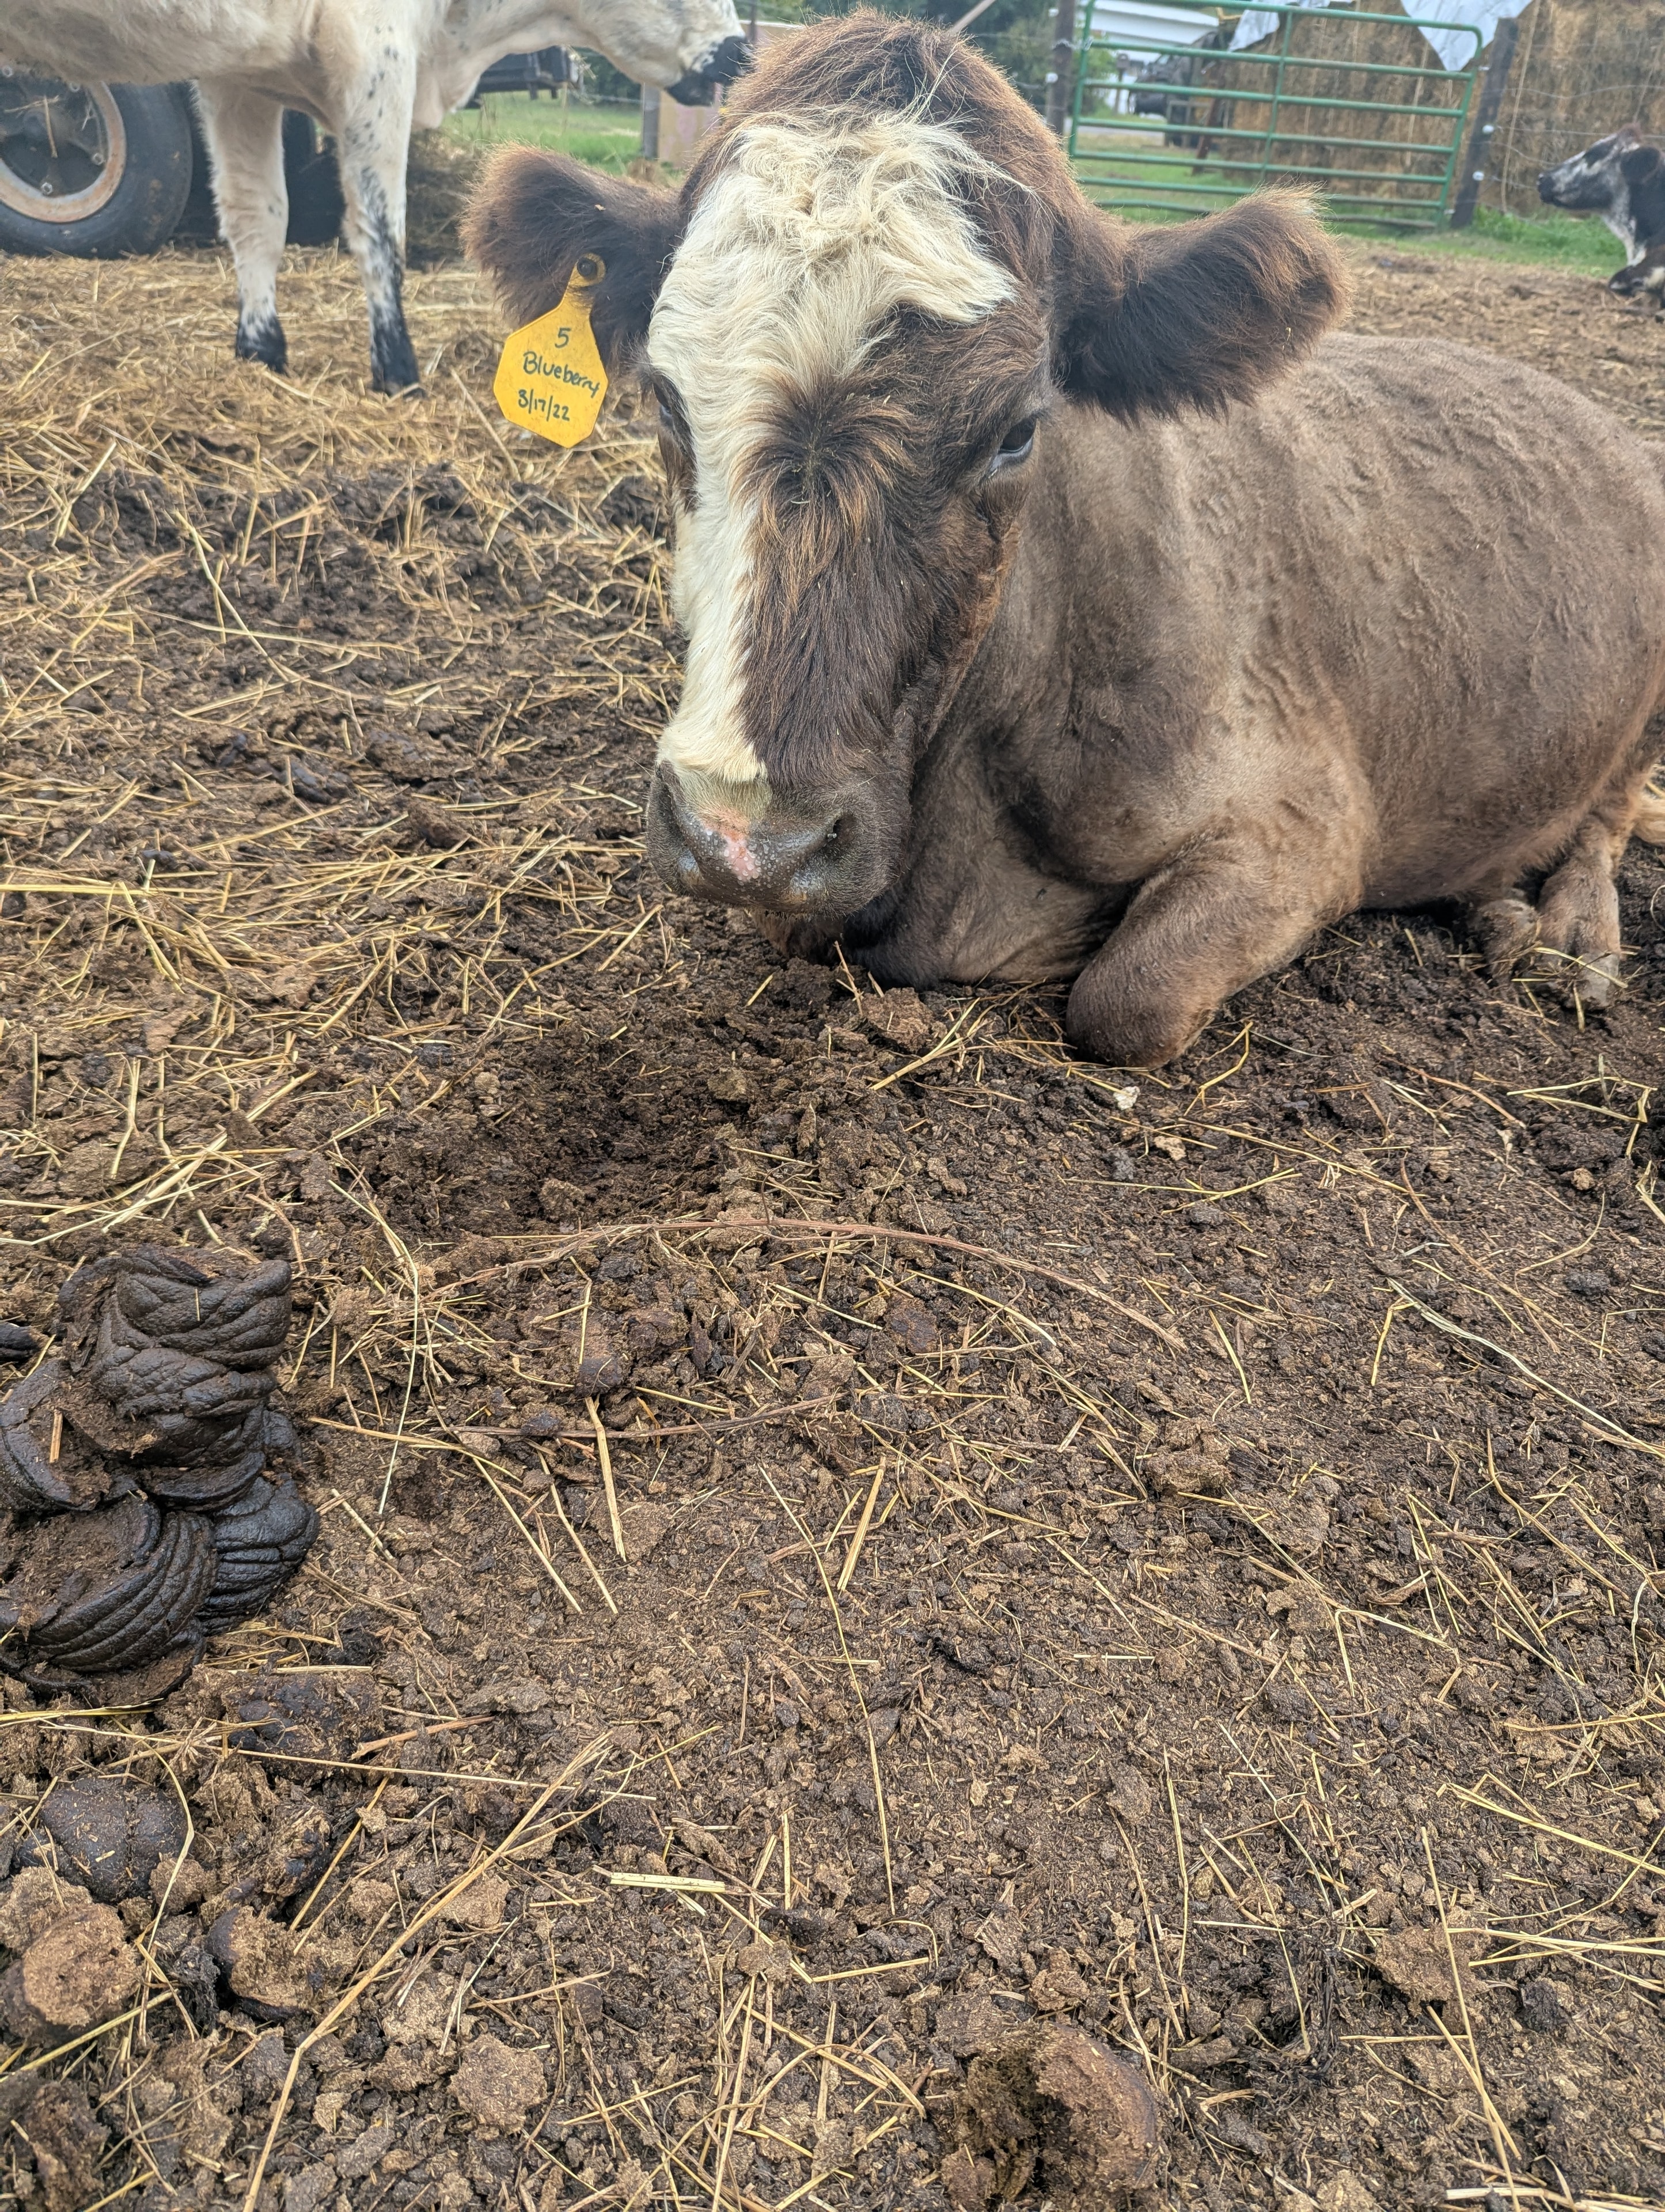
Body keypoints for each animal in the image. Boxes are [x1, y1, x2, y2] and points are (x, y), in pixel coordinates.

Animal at [3, 0, 748, 391]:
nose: (741, 52)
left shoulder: (237, 76)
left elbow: (256, 217)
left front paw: (261, 352)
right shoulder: (374, 51)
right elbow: (379, 232)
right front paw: (398, 369)